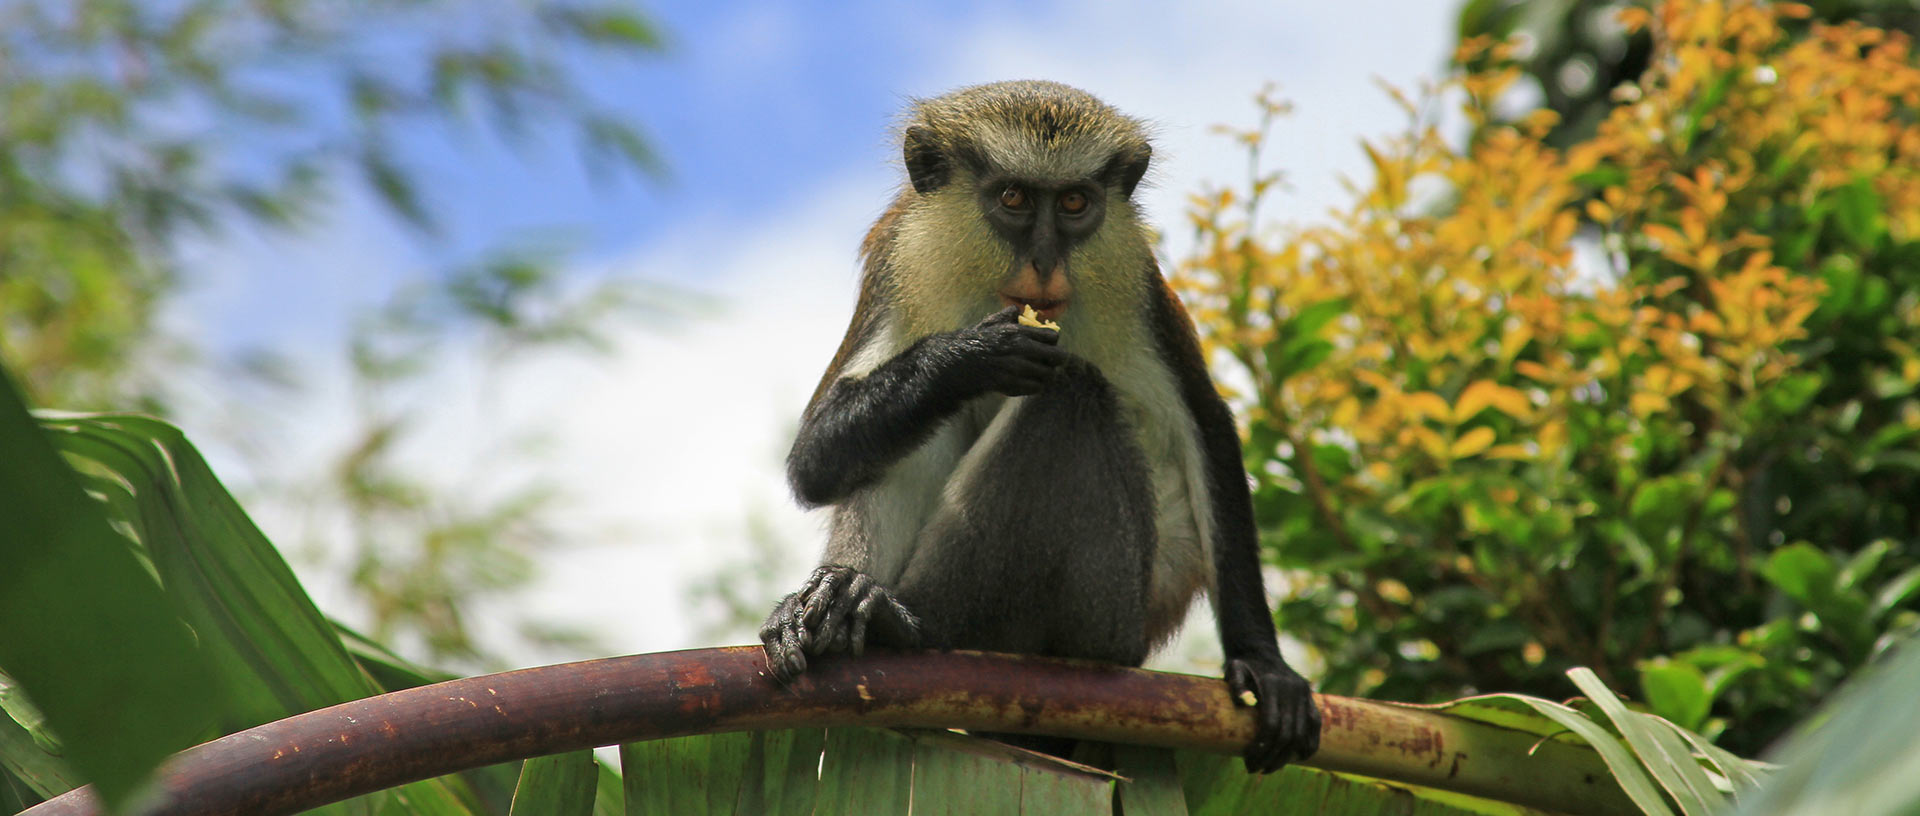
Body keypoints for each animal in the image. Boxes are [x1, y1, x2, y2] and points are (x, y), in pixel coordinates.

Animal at [760, 77, 1320, 768]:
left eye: (1075, 202)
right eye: (1014, 198)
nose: (1046, 263)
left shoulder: (1140, 290)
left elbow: (1207, 427)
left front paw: (1263, 664)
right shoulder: (893, 270)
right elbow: (813, 459)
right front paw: (966, 358)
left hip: (1110, 609)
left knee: (1068, 394)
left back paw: (909, 625)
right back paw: (846, 603)